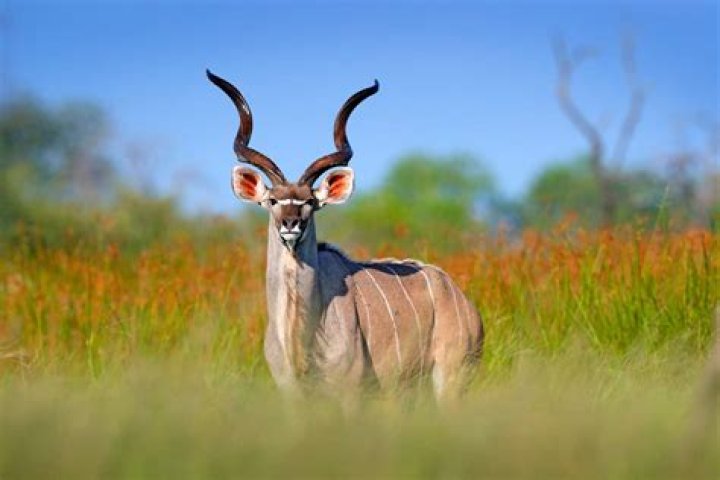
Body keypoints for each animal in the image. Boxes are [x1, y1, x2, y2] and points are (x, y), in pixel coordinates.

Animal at [207, 70, 483, 403]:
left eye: (309, 202)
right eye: (273, 200)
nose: (291, 223)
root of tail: (463, 301)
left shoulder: (350, 391)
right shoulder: (292, 394)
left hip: (451, 378)